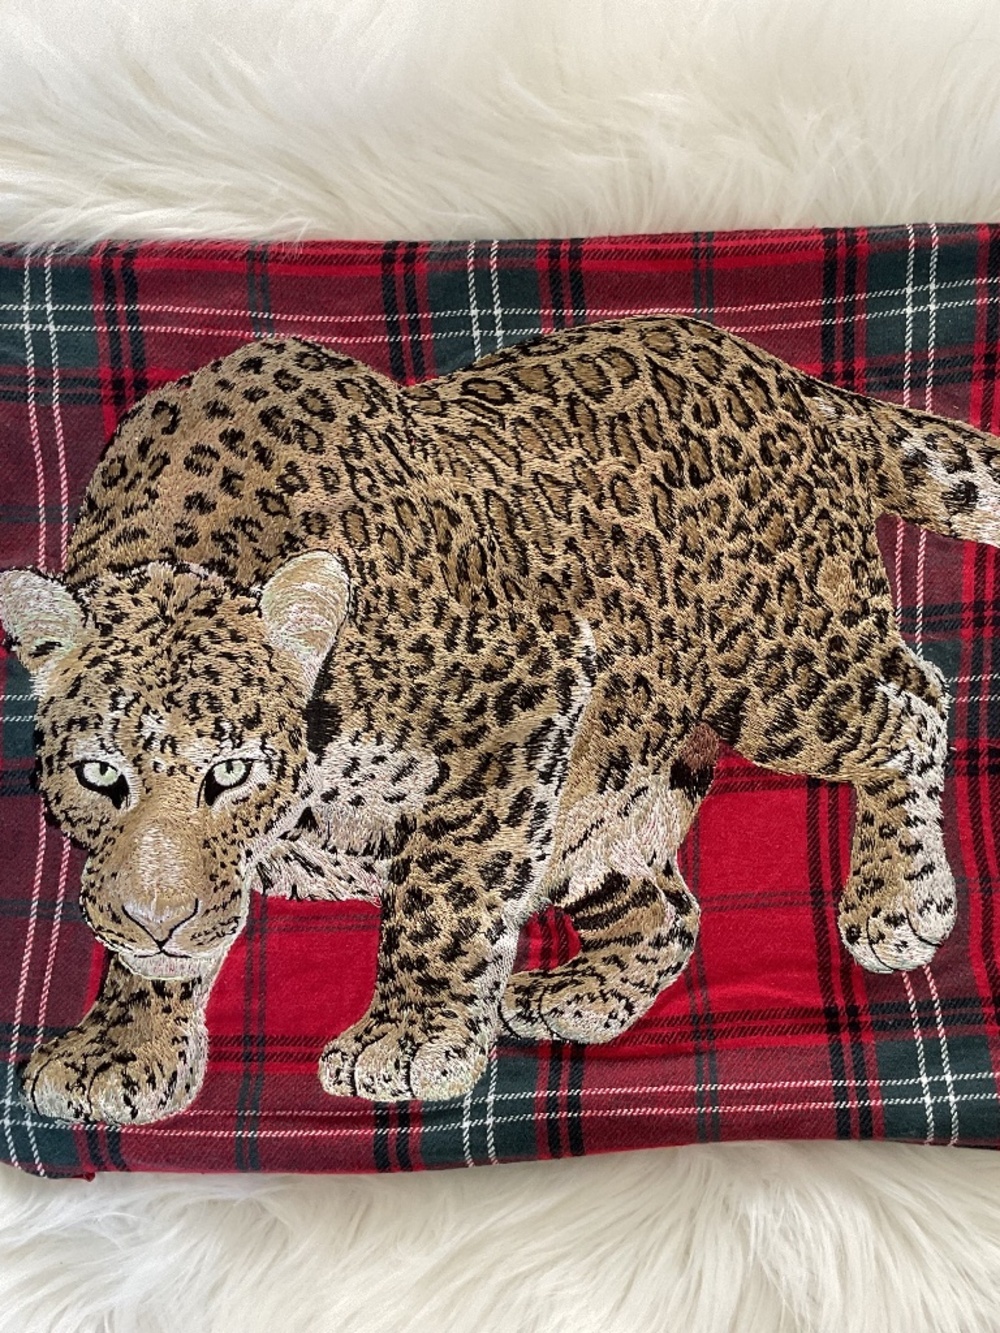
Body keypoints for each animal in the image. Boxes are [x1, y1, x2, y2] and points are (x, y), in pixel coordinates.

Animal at [2, 314, 999, 1125]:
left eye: (232, 773)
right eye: (100, 775)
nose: (157, 925)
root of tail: (799, 383)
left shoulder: (527, 689)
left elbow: (444, 885)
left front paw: (409, 1039)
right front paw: (120, 1049)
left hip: (779, 668)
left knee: (915, 701)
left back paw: (899, 900)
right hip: (603, 791)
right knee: (667, 909)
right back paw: (579, 992)